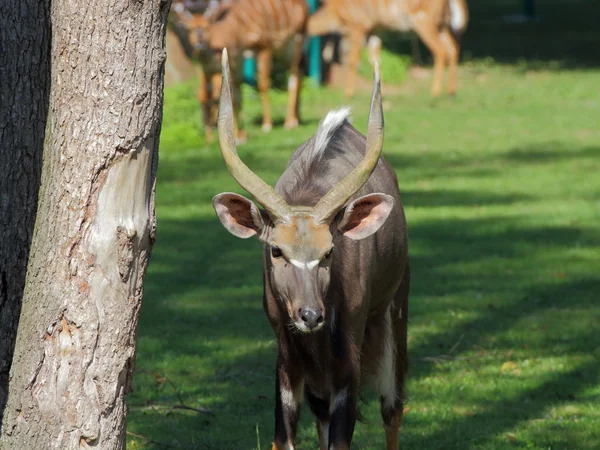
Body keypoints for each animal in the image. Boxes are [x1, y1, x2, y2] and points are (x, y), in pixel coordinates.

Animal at [170, 0, 308, 142]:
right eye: (189, 29)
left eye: (207, 26)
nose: (209, 137)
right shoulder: (227, 62)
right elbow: (235, 93)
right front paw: (240, 135)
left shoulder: (263, 45)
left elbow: (262, 85)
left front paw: (266, 125)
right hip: (283, 50)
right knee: (300, 71)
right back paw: (297, 118)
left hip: (296, 39)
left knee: (294, 74)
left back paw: (290, 122)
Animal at [212, 47, 412, 448]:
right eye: (276, 251)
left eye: (329, 252)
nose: (310, 315)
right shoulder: (286, 362)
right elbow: (284, 436)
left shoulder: (348, 361)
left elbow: (344, 436)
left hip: (394, 311)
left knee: (392, 406)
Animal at [310, 0, 468, 97]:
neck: (334, 14)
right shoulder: (375, 30)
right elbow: (375, 59)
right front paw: (381, 93)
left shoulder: (359, 26)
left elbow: (353, 60)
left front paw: (348, 94)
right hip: (441, 24)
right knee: (452, 48)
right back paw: (451, 92)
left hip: (425, 22)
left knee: (440, 51)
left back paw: (435, 92)